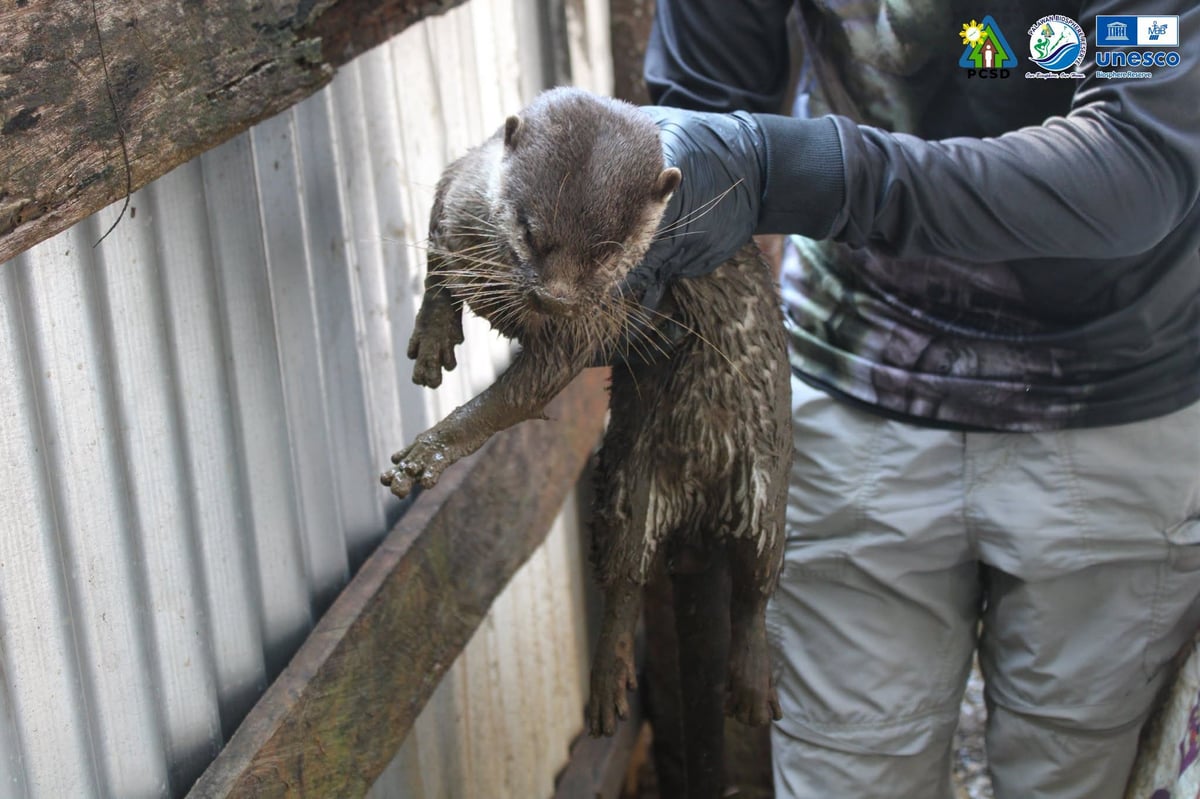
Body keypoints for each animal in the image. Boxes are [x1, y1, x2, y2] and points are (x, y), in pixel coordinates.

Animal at [380, 87, 791, 734]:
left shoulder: (596, 318)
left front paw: (431, 450)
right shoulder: (458, 189)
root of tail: (697, 496)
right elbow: (438, 258)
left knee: (755, 583)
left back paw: (751, 685)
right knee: (625, 578)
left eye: (610, 251)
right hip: (626, 484)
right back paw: (607, 686)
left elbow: (521, 396)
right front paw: (435, 333)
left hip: (765, 485)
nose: (554, 298)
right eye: (530, 229)